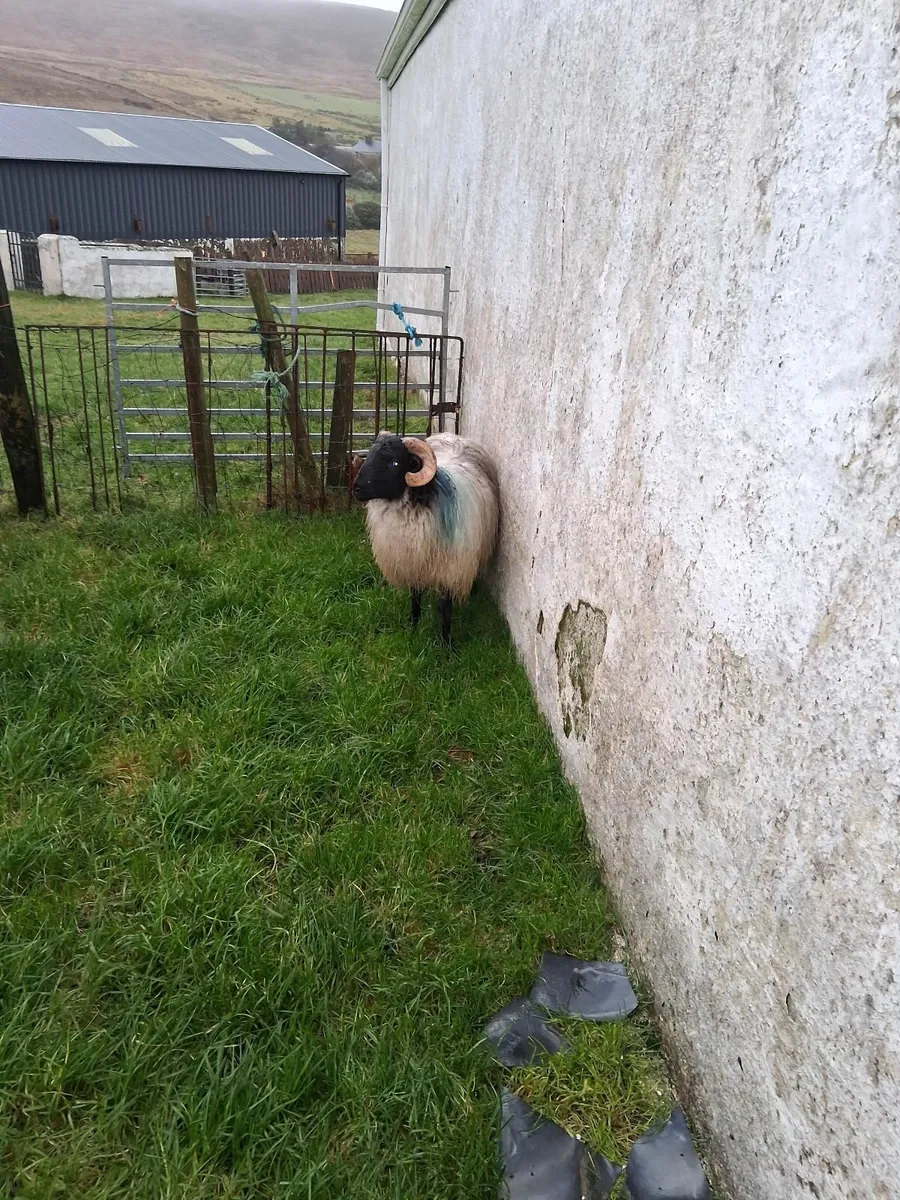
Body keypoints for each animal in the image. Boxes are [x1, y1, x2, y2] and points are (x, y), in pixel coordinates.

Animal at [351, 430, 500, 644]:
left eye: (394, 463)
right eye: (370, 455)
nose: (356, 489)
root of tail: (453, 435)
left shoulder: (451, 568)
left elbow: (444, 607)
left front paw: (446, 644)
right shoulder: (413, 562)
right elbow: (415, 596)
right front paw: (413, 625)